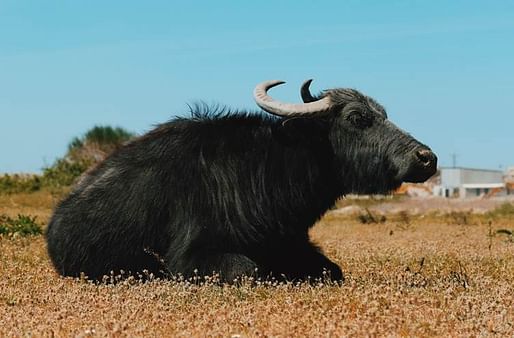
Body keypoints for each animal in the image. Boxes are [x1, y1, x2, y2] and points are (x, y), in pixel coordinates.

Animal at [45, 80, 436, 282]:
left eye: (383, 114)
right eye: (358, 118)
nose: (426, 158)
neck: (268, 166)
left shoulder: (294, 244)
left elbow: (332, 270)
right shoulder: (190, 257)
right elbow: (249, 268)